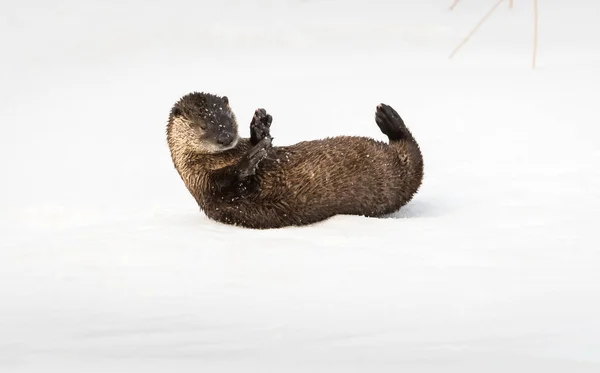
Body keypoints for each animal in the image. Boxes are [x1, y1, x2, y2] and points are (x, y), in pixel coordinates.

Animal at [166, 91, 424, 228]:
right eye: (203, 125)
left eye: (229, 120)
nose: (226, 137)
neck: (224, 158)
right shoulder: (202, 184)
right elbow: (227, 185)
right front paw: (250, 159)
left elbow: (264, 142)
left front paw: (260, 125)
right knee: (414, 154)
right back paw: (389, 120)